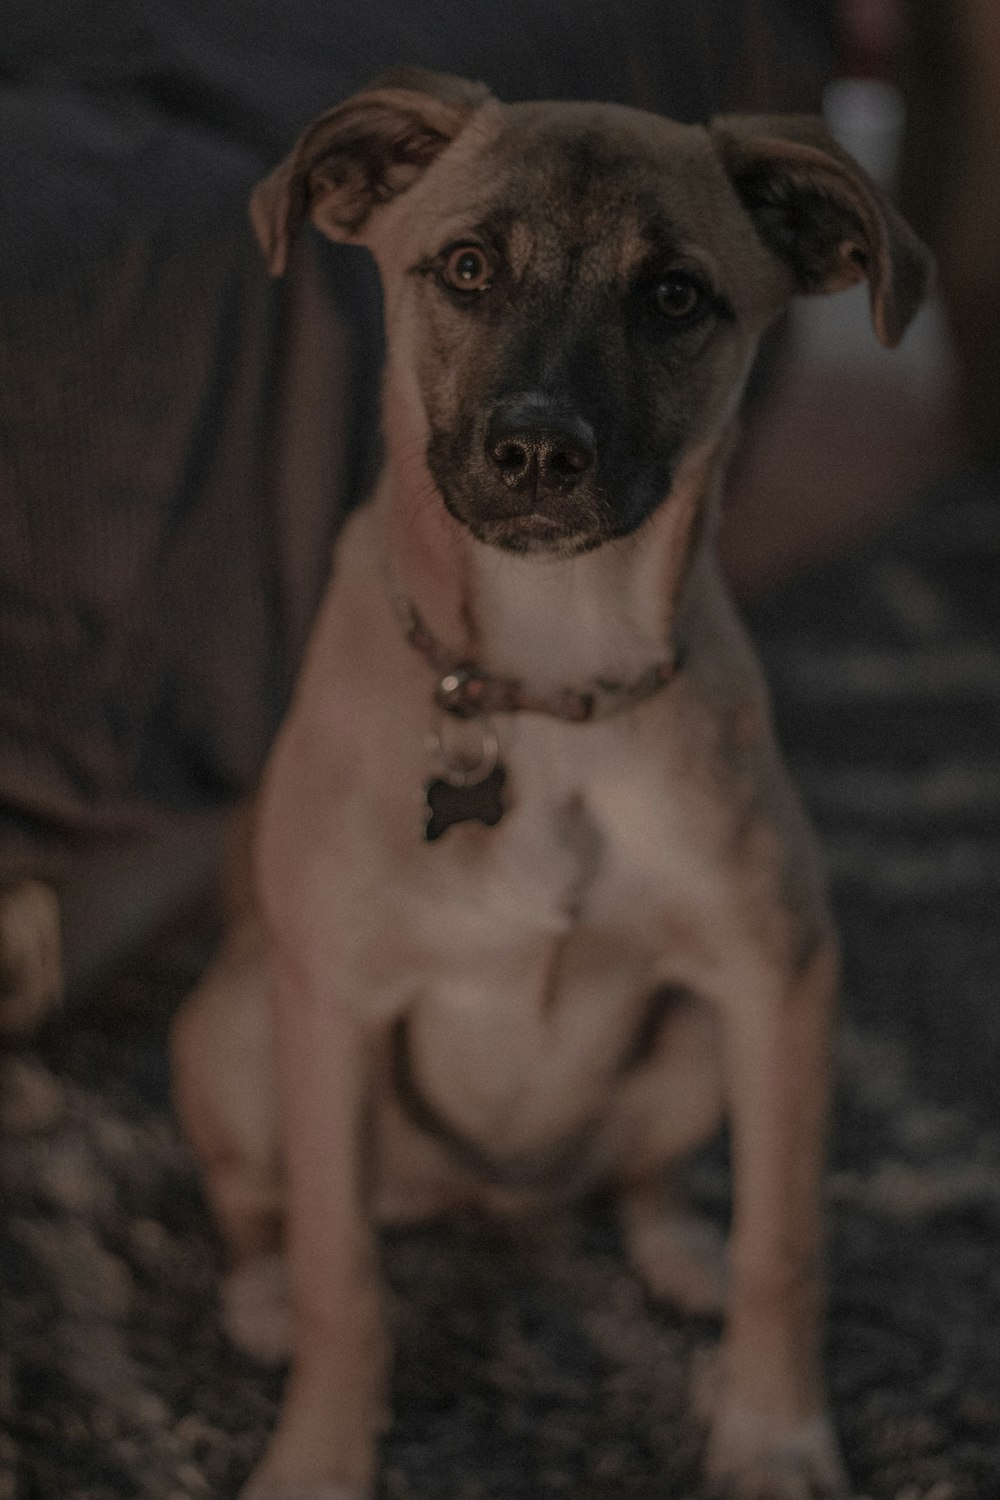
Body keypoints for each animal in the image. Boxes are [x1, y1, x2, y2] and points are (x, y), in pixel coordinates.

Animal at [170, 70, 929, 1500]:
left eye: (676, 296)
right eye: (466, 268)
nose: (537, 453)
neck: (550, 680)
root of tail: (494, 1198)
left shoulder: (781, 977)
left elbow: (785, 1241)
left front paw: (771, 1429)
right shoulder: (331, 1001)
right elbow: (346, 1277)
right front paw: (317, 1457)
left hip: (693, 1045)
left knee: (644, 1180)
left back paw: (676, 1254)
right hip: (238, 1028)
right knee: (265, 1212)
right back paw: (259, 1303)